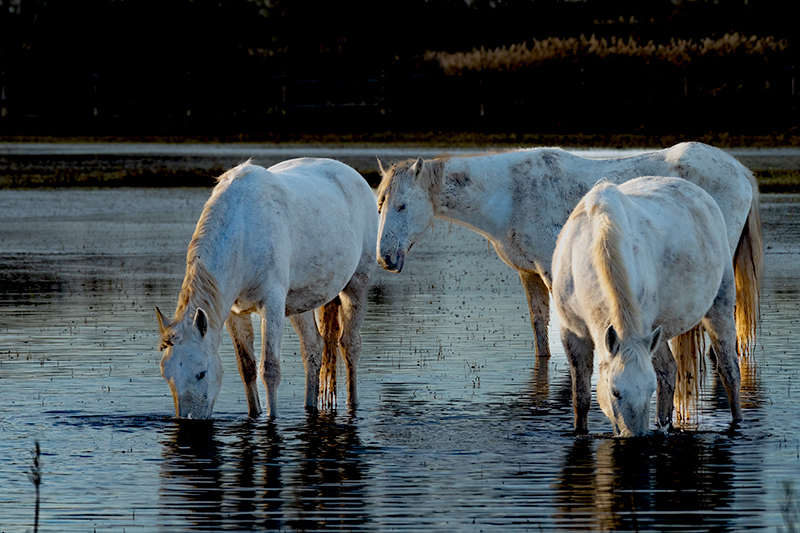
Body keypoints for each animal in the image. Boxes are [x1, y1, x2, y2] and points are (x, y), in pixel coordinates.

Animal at [159, 159, 382, 420]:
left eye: (201, 373)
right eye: (166, 374)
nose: (189, 421)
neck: (241, 231)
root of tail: (352, 173)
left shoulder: (272, 304)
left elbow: (270, 369)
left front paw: (271, 419)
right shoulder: (234, 312)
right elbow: (246, 367)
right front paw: (254, 414)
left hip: (356, 286)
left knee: (350, 346)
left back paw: (352, 403)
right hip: (300, 304)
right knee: (313, 349)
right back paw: (309, 406)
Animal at [376, 141, 764, 368]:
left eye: (402, 205)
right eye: (380, 205)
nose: (385, 259)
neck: (510, 195)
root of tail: (739, 170)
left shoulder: (552, 273)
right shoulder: (529, 275)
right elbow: (540, 330)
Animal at [552, 177, 740, 434]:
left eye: (649, 390)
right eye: (614, 392)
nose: (636, 436)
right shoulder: (572, 333)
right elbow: (580, 398)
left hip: (719, 308)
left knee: (730, 371)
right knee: (669, 370)